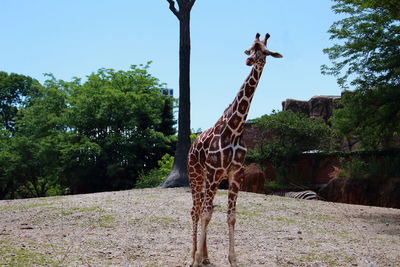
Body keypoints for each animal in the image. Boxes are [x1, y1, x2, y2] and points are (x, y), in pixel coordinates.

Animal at [188, 32, 282, 266]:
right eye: (250, 48)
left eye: (265, 51)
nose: (251, 61)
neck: (236, 127)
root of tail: (192, 145)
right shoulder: (214, 172)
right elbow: (206, 215)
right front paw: (197, 258)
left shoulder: (235, 174)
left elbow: (230, 216)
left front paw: (232, 259)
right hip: (196, 174)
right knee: (195, 210)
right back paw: (193, 256)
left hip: (207, 179)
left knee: (203, 208)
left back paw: (205, 256)